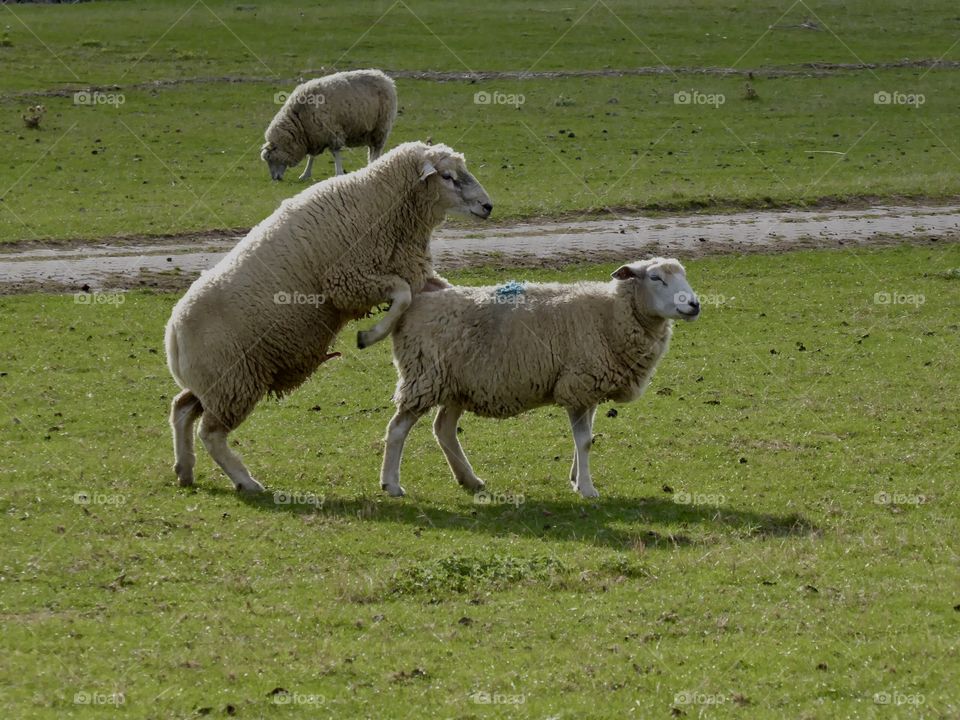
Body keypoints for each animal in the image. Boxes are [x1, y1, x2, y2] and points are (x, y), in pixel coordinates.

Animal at [166, 141, 493, 493]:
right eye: (447, 176)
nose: (488, 206)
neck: (379, 199)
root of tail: (172, 332)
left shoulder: (399, 271)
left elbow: (428, 290)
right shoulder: (348, 280)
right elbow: (403, 295)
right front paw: (370, 335)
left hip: (217, 382)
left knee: (182, 409)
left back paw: (184, 469)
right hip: (231, 380)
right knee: (210, 433)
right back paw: (245, 481)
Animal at [261, 69, 397, 181]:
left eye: (269, 158)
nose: (275, 179)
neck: (299, 120)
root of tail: (385, 77)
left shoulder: (332, 132)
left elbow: (335, 153)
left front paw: (339, 173)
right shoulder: (314, 136)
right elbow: (312, 157)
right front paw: (305, 174)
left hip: (381, 126)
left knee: (377, 149)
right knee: (372, 149)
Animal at [380, 257, 700, 499]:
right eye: (656, 278)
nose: (694, 304)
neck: (609, 314)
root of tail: (419, 300)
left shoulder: (589, 389)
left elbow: (585, 438)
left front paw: (575, 478)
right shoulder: (577, 384)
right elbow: (584, 441)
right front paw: (587, 489)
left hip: (457, 384)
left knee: (444, 429)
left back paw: (469, 479)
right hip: (424, 378)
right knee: (397, 429)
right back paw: (391, 484)